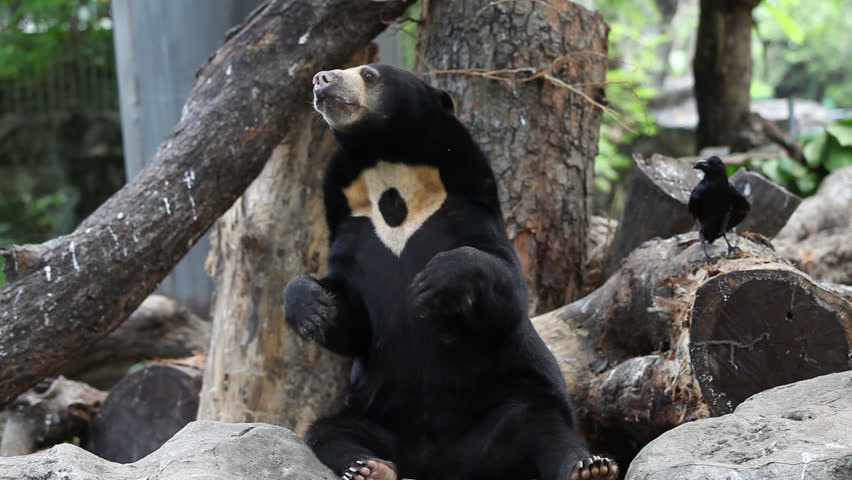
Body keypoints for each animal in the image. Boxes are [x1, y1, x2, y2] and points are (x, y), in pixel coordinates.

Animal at [283, 63, 617, 480]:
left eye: (369, 74)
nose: (321, 79)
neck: (387, 165)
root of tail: (441, 466)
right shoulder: (351, 229)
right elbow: (353, 320)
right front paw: (312, 308)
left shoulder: (466, 208)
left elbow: (505, 286)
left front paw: (433, 282)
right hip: (376, 413)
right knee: (331, 431)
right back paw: (368, 467)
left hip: (509, 402)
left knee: (543, 424)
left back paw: (590, 467)